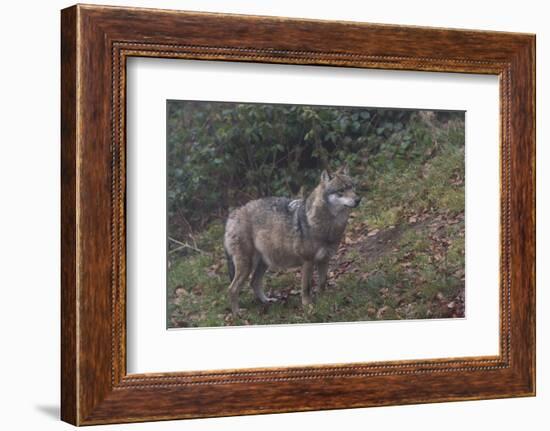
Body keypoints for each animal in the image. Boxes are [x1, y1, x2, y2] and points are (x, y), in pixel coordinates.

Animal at [224, 165, 362, 318]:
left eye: (353, 187)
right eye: (341, 191)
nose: (358, 199)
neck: (327, 226)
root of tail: (232, 215)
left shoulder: (325, 260)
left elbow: (322, 283)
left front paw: (324, 300)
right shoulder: (307, 262)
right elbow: (306, 287)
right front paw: (308, 307)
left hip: (264, 263)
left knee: (254, 282)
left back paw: (267, 301)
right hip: (247, 265)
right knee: (232, 289)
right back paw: (237, 314)